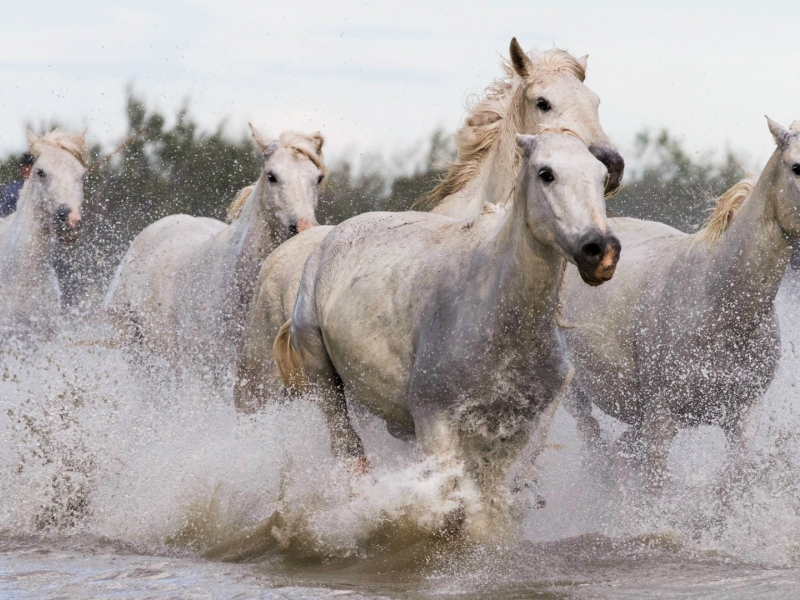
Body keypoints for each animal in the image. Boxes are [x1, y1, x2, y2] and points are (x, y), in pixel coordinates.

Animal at [274, 134, 620, 536]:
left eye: (601, 177)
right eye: (546, 173)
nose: (601, 250)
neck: (500, 320)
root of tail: (328, 242)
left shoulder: (518, 431)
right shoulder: (434, 420)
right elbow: (453, 509)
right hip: (325, 382)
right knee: (350, 453)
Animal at [560, 118, 800, 488]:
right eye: (796, 167)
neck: (719, 304)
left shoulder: (743, 415)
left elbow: (732, 480)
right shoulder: (661, 416)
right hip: (575, 394)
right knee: (594, 448)